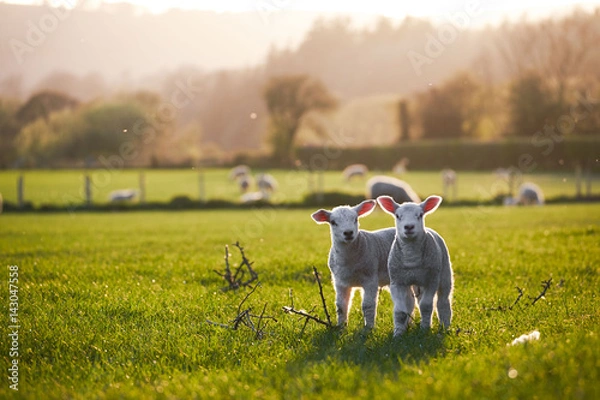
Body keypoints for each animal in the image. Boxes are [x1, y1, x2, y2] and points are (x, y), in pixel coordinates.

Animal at [312, 200, 396, 328]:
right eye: (333, 222)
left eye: (355, 219)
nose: (348, 233)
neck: (349, 262)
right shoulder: (339, 282)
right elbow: (341, 306)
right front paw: (341, 326)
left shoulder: (370, 279)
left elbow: (368, 306)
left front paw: (368, 328)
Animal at [378, 195, 452, 336]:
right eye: (397, 216)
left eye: (420, 215)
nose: (409, 227)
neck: (411, 259)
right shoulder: (397, 282)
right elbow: (400, 311)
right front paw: (398, 334)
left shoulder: (431, 280)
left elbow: (426, 306)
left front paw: (424, 330)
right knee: (411, 302)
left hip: (444, 273)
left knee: (443, 301)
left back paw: (445, 327)